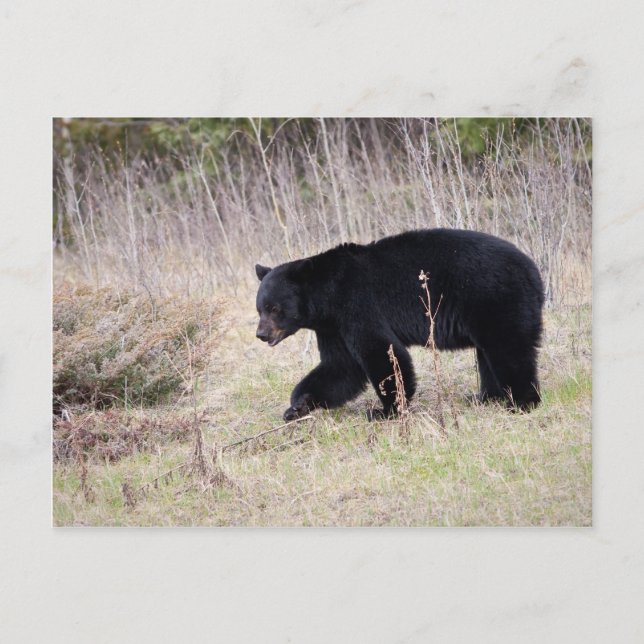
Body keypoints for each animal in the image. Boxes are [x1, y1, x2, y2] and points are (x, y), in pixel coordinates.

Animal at [255, 228, 544, 421]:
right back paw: (484, 397)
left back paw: (522, 402)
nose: (261, 334)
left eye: (274, 308)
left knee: (508, 348)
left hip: (495, 298)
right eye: (259, 308)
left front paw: (386, 410)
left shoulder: (357, 305)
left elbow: (382, 352)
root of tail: (534, 272)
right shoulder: (332, 327)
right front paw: (297, 406)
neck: (327, 295)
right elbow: (340, 367)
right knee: (488, 354)